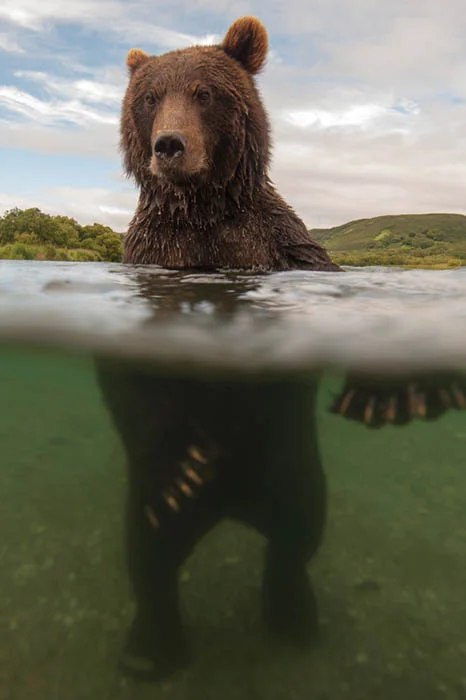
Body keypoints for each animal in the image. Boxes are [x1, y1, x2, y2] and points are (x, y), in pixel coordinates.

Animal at [97, 15, 338, 684]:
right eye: (151, 97)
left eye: (204, 93)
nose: (169, 145)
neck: (203, 213)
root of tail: (230, 510)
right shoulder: (149, 257)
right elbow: (131, 385)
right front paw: (187, 458)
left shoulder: (277, 248)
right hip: (148, 511)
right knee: (149, 560)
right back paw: (150, 649)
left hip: (292, 473)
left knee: (296, 537)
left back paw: (293, 617)